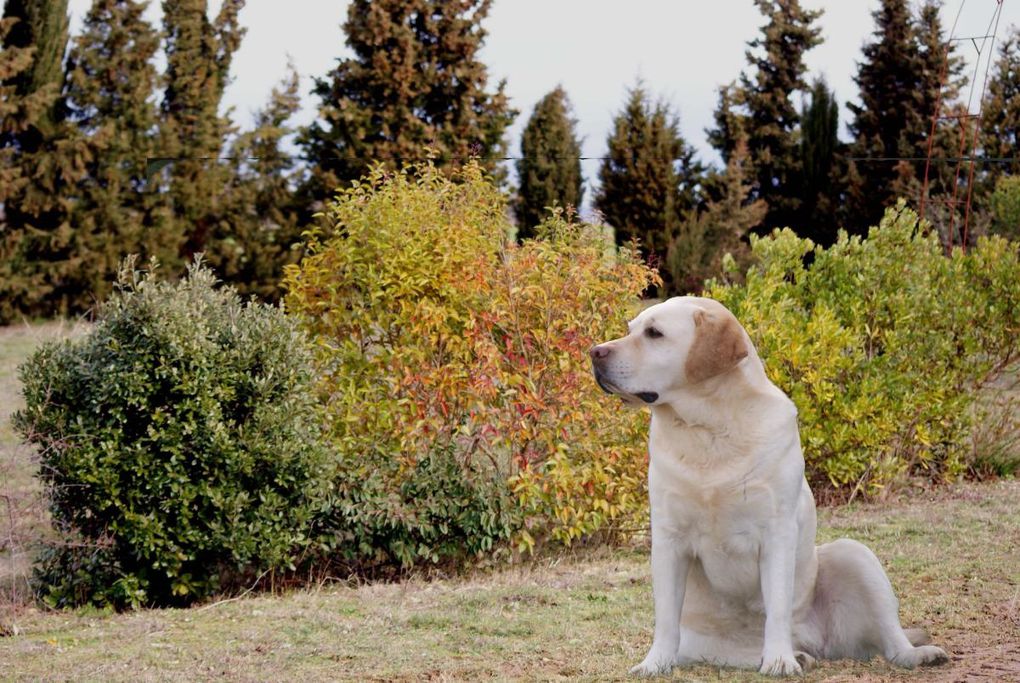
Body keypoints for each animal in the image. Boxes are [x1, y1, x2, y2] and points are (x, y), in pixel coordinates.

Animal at [591, 297, 946, 676]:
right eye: (630, 329)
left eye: (654, 333)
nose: (594, 352)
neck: (708, 429)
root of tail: (812, 642)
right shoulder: (668, 539)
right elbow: (666, 617)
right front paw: (654, 663)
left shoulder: (777, 532)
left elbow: (776, 606)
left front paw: (779, 660)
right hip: (707, 645)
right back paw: (794, 655)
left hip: (854, 555)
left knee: (892, 640)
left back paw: (914, 654)